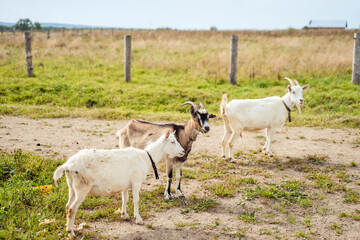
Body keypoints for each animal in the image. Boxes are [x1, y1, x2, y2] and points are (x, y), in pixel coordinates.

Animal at [52, 131, 186, 238]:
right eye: (172, 142)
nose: (183, 151)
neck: (146, 157)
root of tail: (68, 165)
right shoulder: (136, 181)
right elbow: (136, 200)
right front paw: (139, 219)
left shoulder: (125, 185)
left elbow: (125, 199)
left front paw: (124, 215)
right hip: (82, 187)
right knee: (72, 209)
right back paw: (71, 233)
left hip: (72, 187)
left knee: (67, 206)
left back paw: (68, 229)